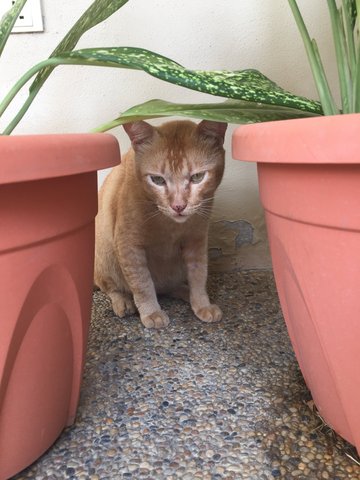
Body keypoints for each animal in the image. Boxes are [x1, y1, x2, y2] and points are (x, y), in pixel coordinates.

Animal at [94, 120, 226, 330]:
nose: (178, 206)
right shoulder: (128, 245)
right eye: (157, 180)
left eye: (197, 177)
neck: (170, 226)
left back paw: (185, 292)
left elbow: (199, 275)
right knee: (111, 287)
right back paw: (123, 301)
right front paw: (151, 312)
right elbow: (142, 282)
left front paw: (202, 304)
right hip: (105, 256)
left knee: (169, 287)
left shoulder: (196, 241)